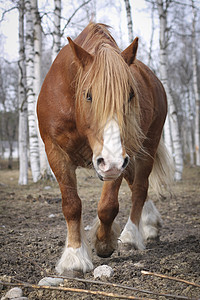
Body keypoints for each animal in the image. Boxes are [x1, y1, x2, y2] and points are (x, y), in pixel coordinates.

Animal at [37, 22, 172, 276]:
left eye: (130, 95)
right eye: (88, 95)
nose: (110, 161)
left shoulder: (117, 157)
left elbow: (108, 206)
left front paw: (104, 242)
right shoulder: (55, 151)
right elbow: (71, 204)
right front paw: (74, 256)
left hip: (146, 145)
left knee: (139, 188)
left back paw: (131, 234)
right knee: (135, 183)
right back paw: (149, 223)